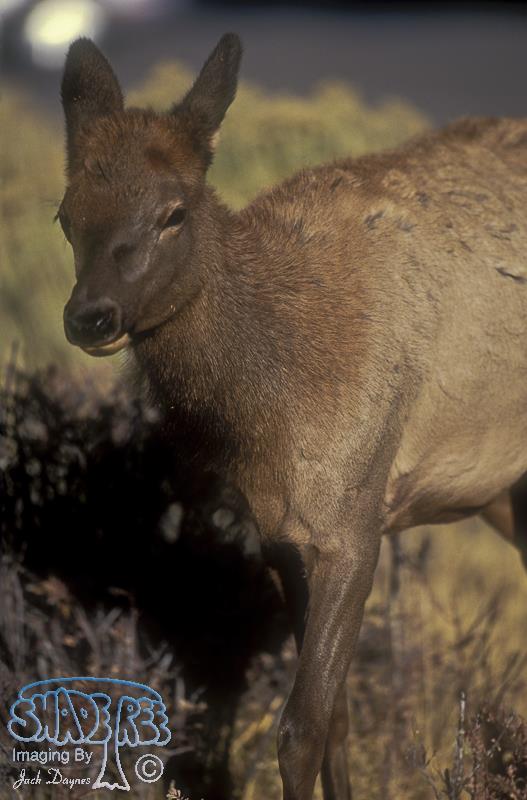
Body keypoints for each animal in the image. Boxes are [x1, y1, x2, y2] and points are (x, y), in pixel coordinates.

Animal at [59, 33, 527, 800]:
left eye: (173, 212)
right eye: (67, 215)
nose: (90, 317)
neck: (269, 413)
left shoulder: (355, 523)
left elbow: (300, 727)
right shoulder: (279, 533)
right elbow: (336, 721)